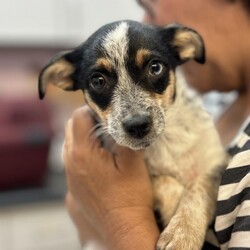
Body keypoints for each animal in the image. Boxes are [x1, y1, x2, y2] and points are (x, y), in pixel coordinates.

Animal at [38, 20, 227, 249]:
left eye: (155, 68)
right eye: (98, 81)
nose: (137, 125)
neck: (163, 143)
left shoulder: (215, 163)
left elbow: (198, 190)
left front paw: (181, 233)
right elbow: (163, 181)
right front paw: (174, 213)